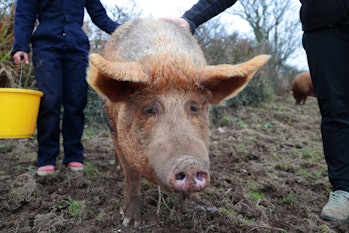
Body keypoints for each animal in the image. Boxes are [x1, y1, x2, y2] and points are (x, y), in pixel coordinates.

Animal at [86, 18, 270, 228]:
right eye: (149, 109)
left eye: (194, 107)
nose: (189, 164)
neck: (165, 57)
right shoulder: (117, 133)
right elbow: (131, 176)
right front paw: (130, 222)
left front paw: (200, 207)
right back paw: (116, 171)